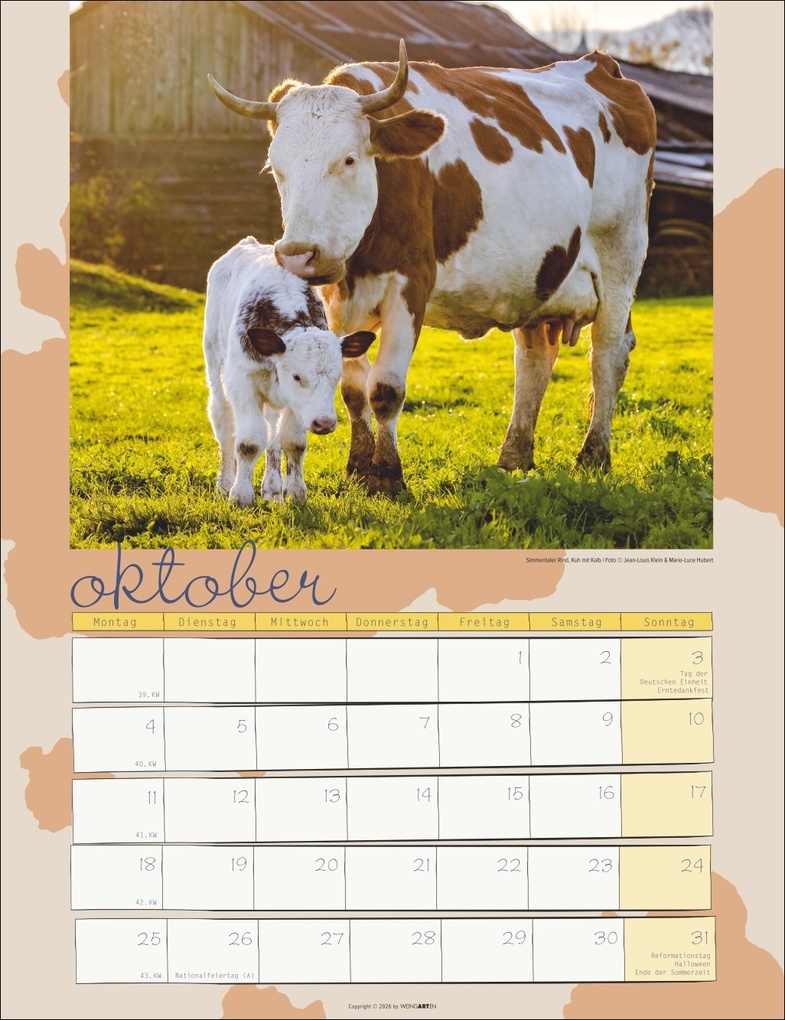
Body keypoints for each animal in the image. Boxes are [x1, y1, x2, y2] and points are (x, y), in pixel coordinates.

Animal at [203, 237, 375, 506]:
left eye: (336, 378)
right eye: (297, 376)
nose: (324, 422)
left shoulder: (295, 402)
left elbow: (292, 442)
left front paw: (294, 492)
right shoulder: (242, 381)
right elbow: (249, 441)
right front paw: (240, 495)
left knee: (272, 430)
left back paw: (272, 488)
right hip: (214, 359)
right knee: (223, 421)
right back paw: (225, 482)